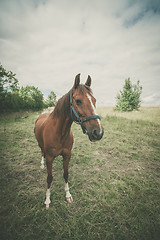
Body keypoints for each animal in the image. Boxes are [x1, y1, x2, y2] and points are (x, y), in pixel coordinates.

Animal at [34, 73, 103, 208]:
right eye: (78, 101)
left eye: (94, 100)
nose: (98, 132)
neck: (60, 132)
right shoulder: (50, 157)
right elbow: (49, 177)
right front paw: (47, 200)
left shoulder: (67, 155)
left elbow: (66, 174)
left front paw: (68, 195)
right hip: (40, 145)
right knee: (42, 152)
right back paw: (41, 165)